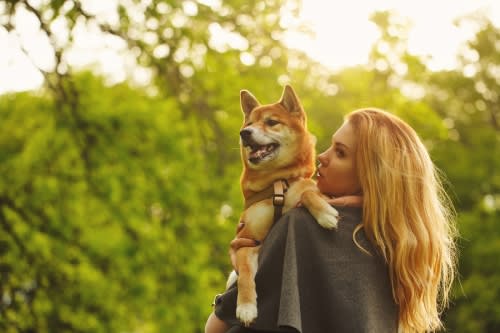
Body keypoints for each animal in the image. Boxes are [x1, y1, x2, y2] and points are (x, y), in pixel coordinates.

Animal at [228, 84, 338, 326]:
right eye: (248, 125)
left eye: (271, 122)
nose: (244, 134)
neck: (277, 183)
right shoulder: (245, 241)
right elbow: (245, 275)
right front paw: (246, 307)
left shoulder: (316, 192)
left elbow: (307, 194)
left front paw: (325, 214)